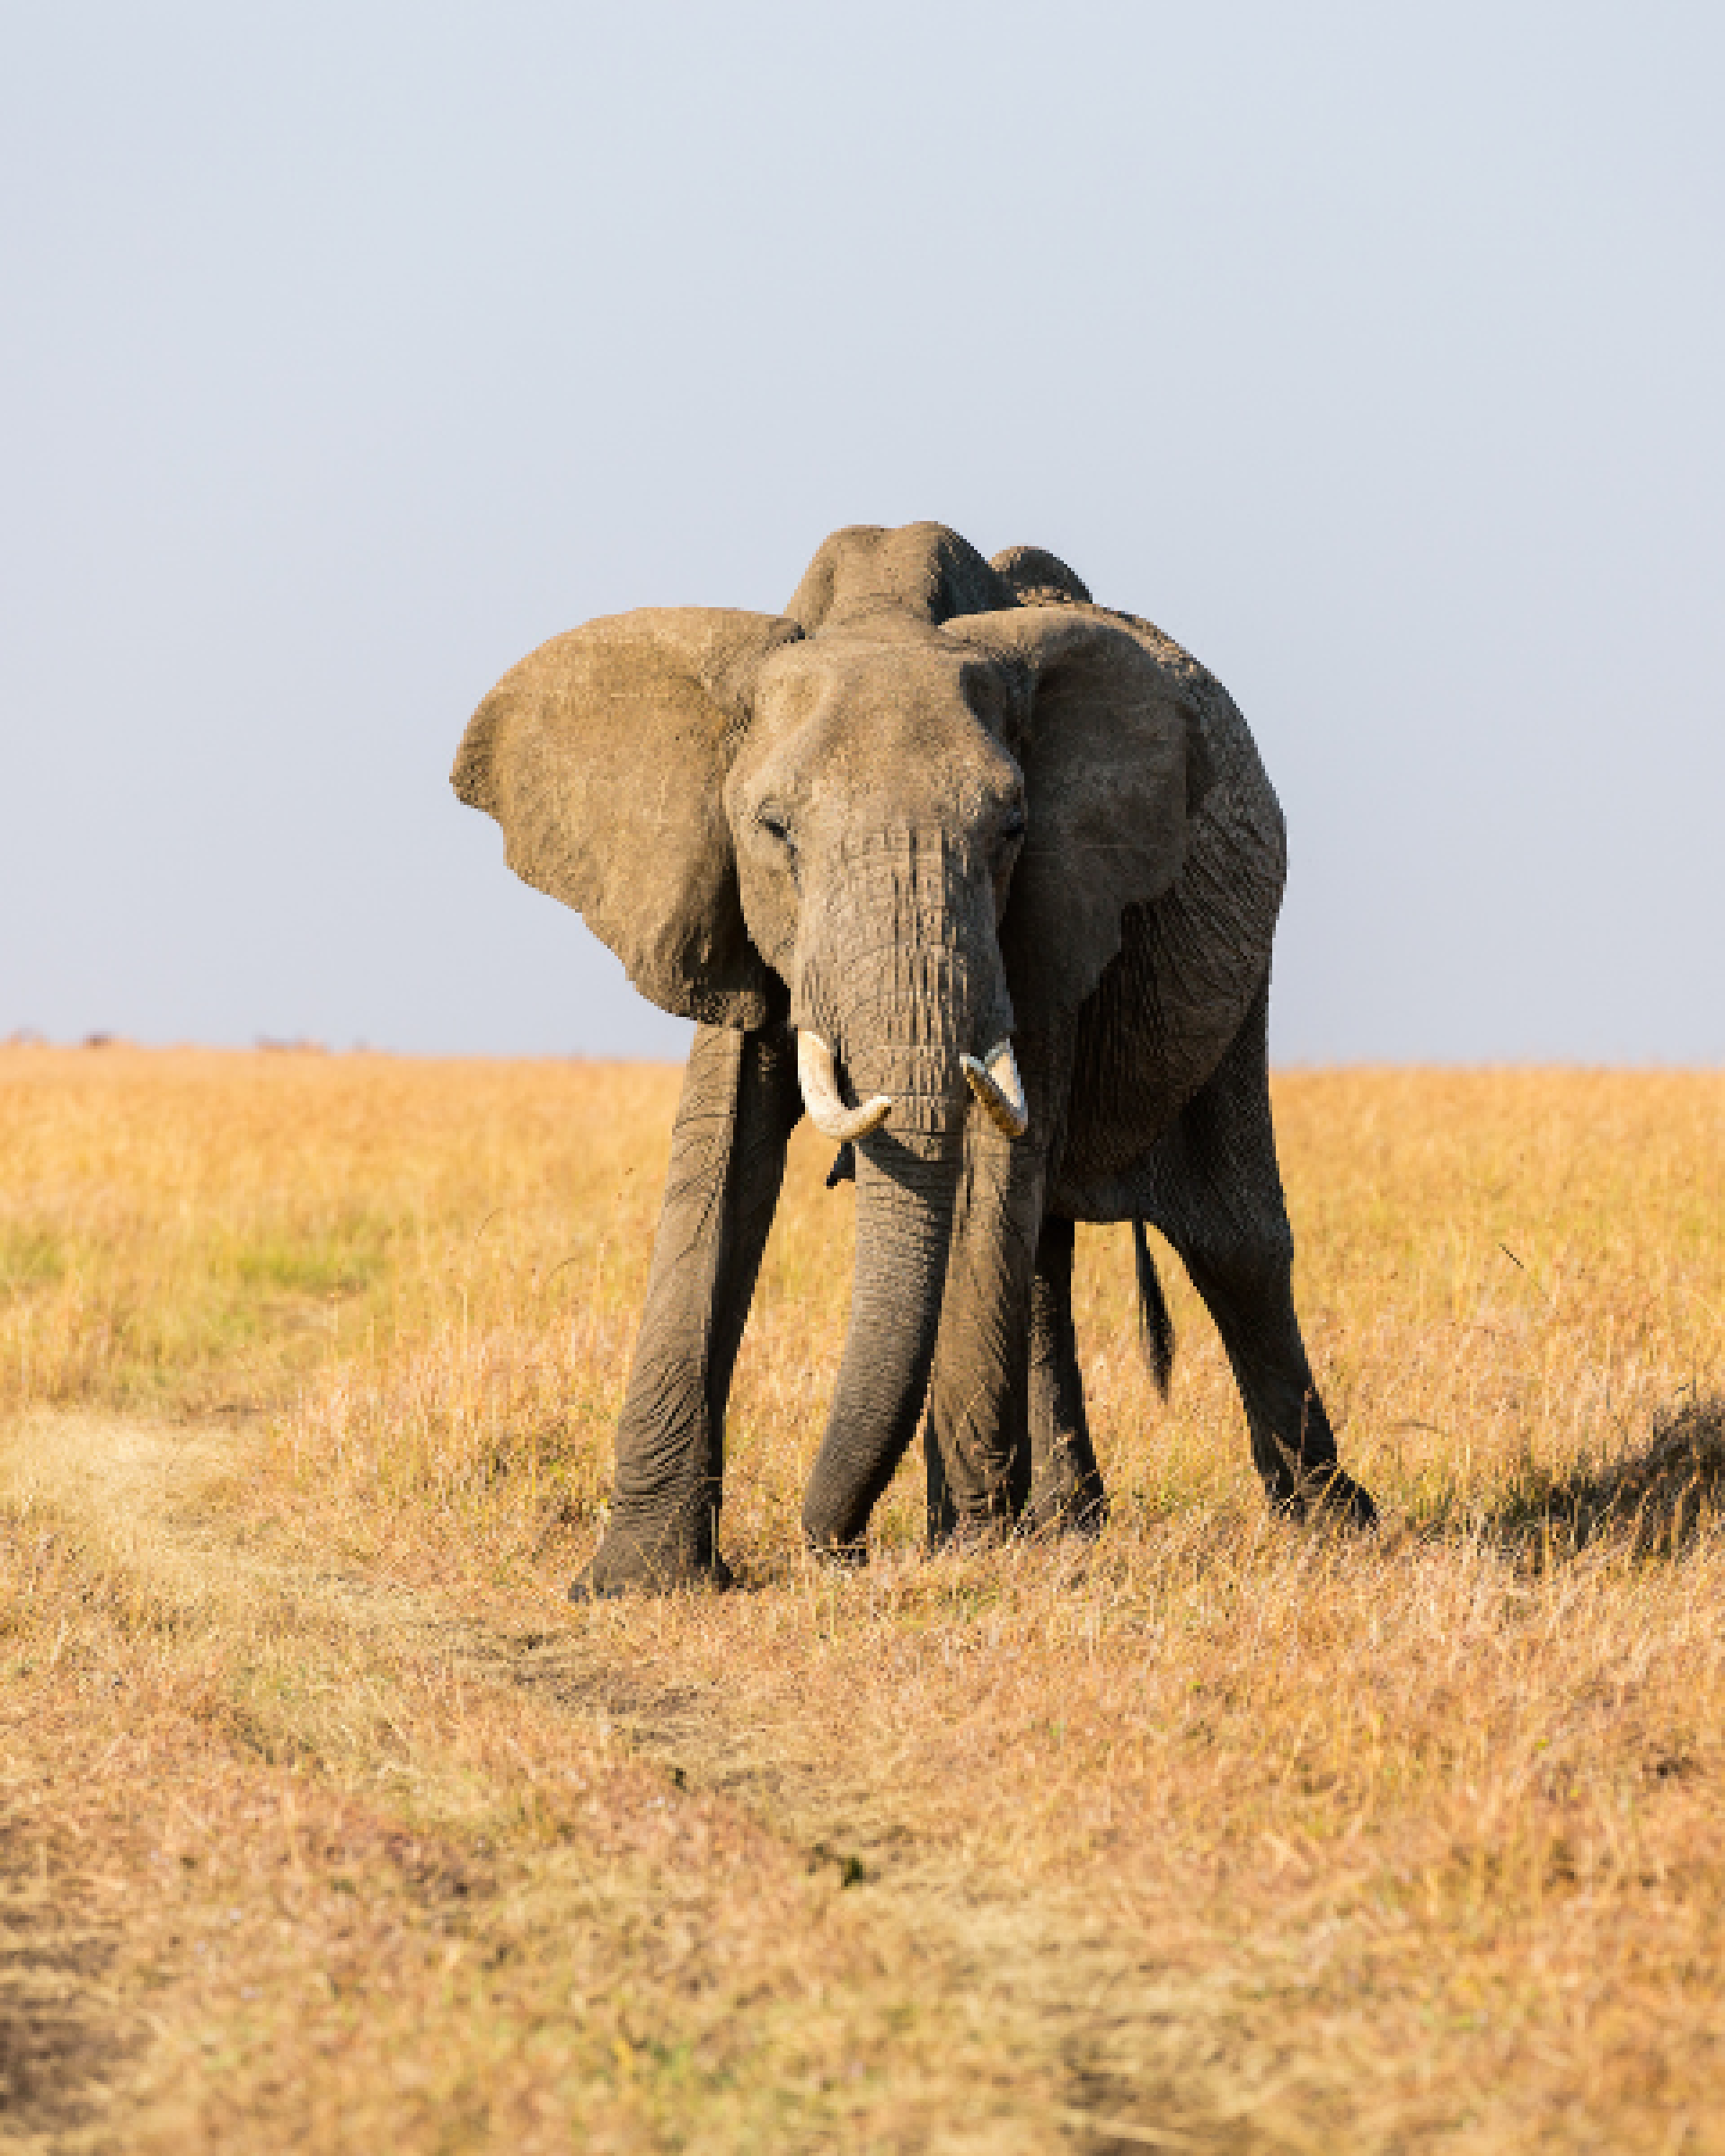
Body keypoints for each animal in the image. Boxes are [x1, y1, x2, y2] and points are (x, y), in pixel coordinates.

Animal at [455, 517, 1371, 1604]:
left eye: (1011, 830)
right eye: (774, 831)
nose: (837, 1548)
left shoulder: (1050, 915)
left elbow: (993, 1168)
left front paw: (968, 1556)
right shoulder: (717, 899)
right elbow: (716, 1163)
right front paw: (636, 1585)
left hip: (1245, 955)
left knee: (1231, 1241)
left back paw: (1333, 1524)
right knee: (1051, 1253)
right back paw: (1068, 1527)